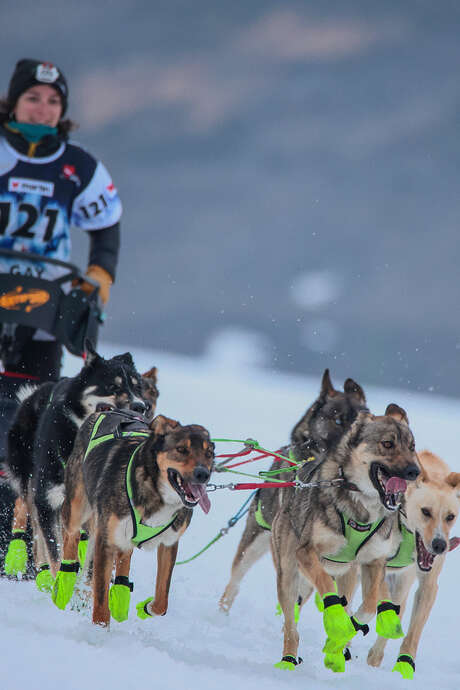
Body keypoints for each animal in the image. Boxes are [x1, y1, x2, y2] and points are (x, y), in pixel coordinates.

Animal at [53, 408, 215, 624]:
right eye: (181, 449)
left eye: (209, 454)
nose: (203, 474)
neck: (156, 493)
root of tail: (105, 410)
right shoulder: (106, 541)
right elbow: (100, 601)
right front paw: (99, 629)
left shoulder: (169, 543)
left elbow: (162, 602)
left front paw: (146, 608)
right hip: (76, 509)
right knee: (71, 539)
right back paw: (64, 584)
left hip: (123, 537)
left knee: (124, 558)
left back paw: (120, 598)